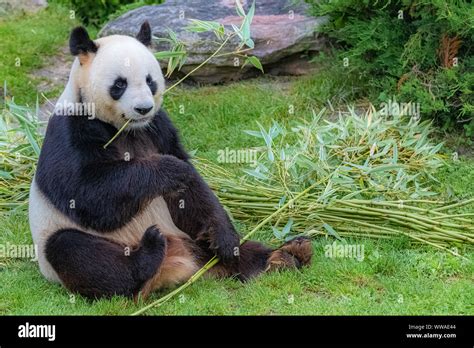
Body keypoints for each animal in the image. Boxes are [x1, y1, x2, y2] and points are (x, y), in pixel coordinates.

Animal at [27, 21, 312, 300]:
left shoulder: (158, 127)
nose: (143, 108)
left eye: (150, 81)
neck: (127, 129)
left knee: (240, 250)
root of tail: (173, 266)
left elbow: (192, 193)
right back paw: (147, 255)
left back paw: (284, 255)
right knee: (77, 253)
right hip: (65, 243)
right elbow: (86, 193)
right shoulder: (70, 128)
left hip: (189, 237)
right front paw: (171, 169)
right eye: (120, 84)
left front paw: (224, 238)